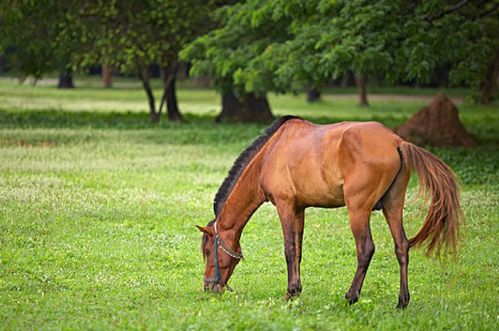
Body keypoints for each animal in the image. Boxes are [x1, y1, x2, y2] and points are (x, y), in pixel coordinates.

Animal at [197, 116, 462, 308]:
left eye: (208, 251)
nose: (209, 287)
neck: (270, 153)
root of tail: (397, 142)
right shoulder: (299, 209)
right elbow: (298, 251)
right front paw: (296, 291)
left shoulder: (284, 205)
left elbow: (289, 250)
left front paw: (289, 294)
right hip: (393, 206)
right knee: (402, 247)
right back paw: (402, 301)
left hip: (358, 209)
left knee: (365, 249)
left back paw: (351, 296)